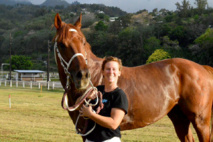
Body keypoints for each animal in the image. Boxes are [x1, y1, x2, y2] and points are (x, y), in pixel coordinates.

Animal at [54, 12, 213, 141]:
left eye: (84, 42)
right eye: (61, 44)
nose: (83, 76)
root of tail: (203, 68)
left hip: (200, 121)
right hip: (180, 118)